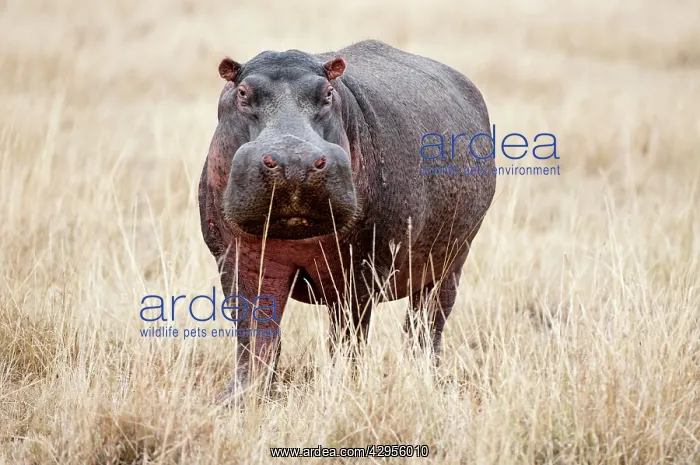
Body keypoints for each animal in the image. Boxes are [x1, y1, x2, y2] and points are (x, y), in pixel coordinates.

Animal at [198, 39, 496, 401]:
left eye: (327, 93)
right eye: (242, 92)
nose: (293, 161)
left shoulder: (362, 266)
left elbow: (347, 335)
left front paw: (344, 389)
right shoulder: (238, 257)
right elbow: (255, 329)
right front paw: (238, 398)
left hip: (451, 261)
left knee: (425, 324)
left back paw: (427, 379)